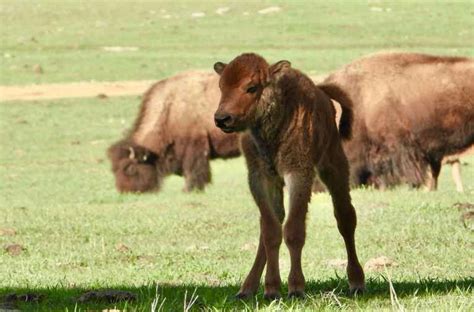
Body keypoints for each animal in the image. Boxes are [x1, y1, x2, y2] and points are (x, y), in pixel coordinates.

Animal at [108, 70, 241, 193]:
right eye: (113, 169)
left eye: (130, 168)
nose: (125, 191)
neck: (170, 108)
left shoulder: (195, 146)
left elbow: (195, 169)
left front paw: (189, 189)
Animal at [213, 54, 364, 300]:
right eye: (221, 86)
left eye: (251, 87)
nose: (222, 118)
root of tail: (321, 92)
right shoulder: (260, 178)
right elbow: (270, 231)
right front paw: (272, 289)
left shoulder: (298, 174)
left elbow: (293, 230)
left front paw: (296, 288)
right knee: (272, 225)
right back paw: (247, 288)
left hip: (334, 165)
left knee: (345, 217)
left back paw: (357, 281)